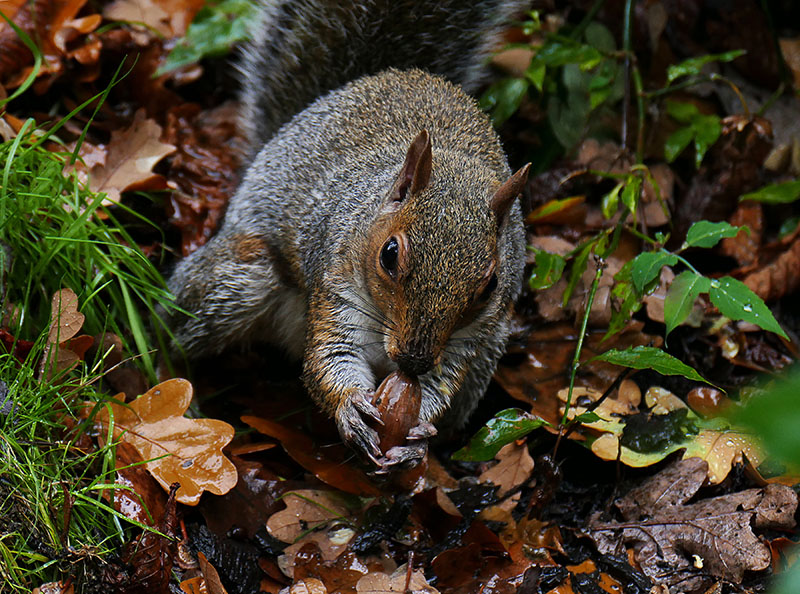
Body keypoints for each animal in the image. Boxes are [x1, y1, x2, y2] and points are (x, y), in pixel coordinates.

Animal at [167, 0, 531, 470]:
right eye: (389, 254)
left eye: (490, 285)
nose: (413, 362)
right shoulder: (335, 280)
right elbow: (330, 356)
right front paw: (350, 407)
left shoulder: (466, 340)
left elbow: (442, 381)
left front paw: (418, 434)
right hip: (242, 272)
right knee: (172, 329)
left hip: (488, 350)